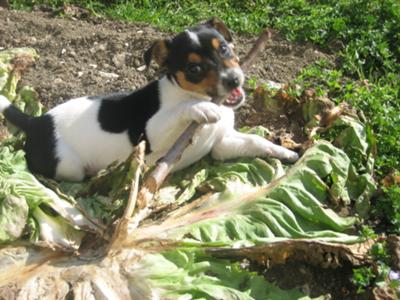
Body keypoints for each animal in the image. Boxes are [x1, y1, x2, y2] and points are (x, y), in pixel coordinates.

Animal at [0, 19, 296, 183]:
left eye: (223, 48)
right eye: (195, 69)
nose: (234, 80)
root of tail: (36, 121)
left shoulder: (221, 145)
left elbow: (255, 141)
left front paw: (286, 153)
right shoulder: (152, 137)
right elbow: (178, 111)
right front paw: (200, 108)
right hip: (68, 165)